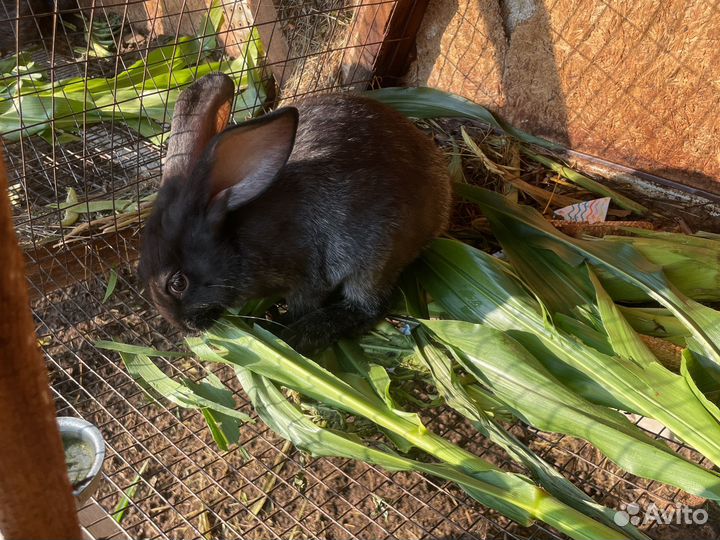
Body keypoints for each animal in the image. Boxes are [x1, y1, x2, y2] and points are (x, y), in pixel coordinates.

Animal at [138, 72, 452, 354]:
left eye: (178, 283)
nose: (183, 326)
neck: (235, 243)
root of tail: (441, 200)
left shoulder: (309, 277)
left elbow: (304, 303)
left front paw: (281, 327)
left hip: (376, 257)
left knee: (369, 306)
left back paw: (302, 334)